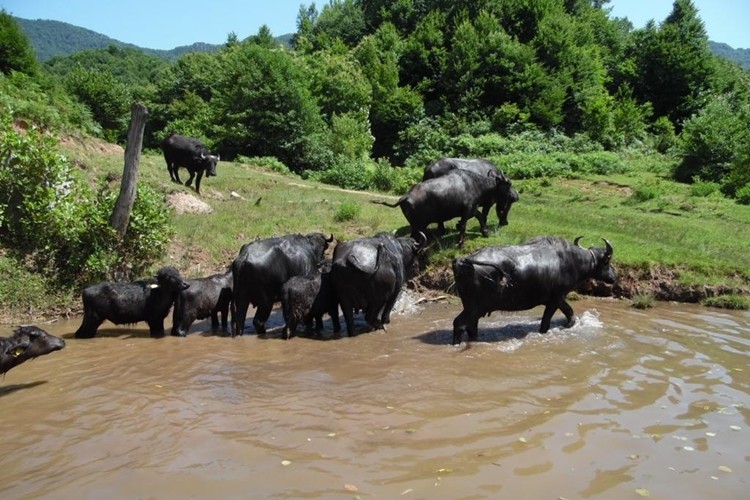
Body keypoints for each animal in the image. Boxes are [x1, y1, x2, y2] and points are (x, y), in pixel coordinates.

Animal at [376, 168, 516, 246]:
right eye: (508, 185)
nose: (514, 196)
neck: (476, 184)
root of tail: (405, 196)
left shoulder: (472, 209)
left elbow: (480, 216)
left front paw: (485, 232)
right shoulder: (467, 209)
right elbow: (464, 225)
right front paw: (460, 242)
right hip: (418, 225)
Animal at [452, 235, 616, 344]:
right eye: (607, 261)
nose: (614, 277)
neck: (572, 260)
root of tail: (463, 261)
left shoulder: (557, 298)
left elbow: (569, 312)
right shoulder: (556, 298)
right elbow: (546, 322)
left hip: (473, 307)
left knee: (471, 327)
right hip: (474, 307)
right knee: (459, 324)